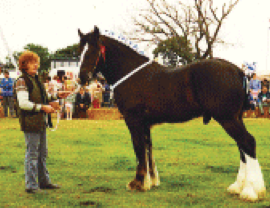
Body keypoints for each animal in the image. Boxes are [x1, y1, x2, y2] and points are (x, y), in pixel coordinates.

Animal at [77, 26, 266, 202]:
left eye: (93, 50)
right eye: (80, 50)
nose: (81, 78)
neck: (131, 74)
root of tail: (239, 71)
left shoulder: (134, 121)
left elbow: (139, 149)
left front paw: (138, 183)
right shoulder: (145, 124)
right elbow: (148, 149)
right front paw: (151, 181)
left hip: (228, 119)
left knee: (247, 143)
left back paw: (250, 191)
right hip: (235, 118)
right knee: (242, 147)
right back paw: (238, 187)